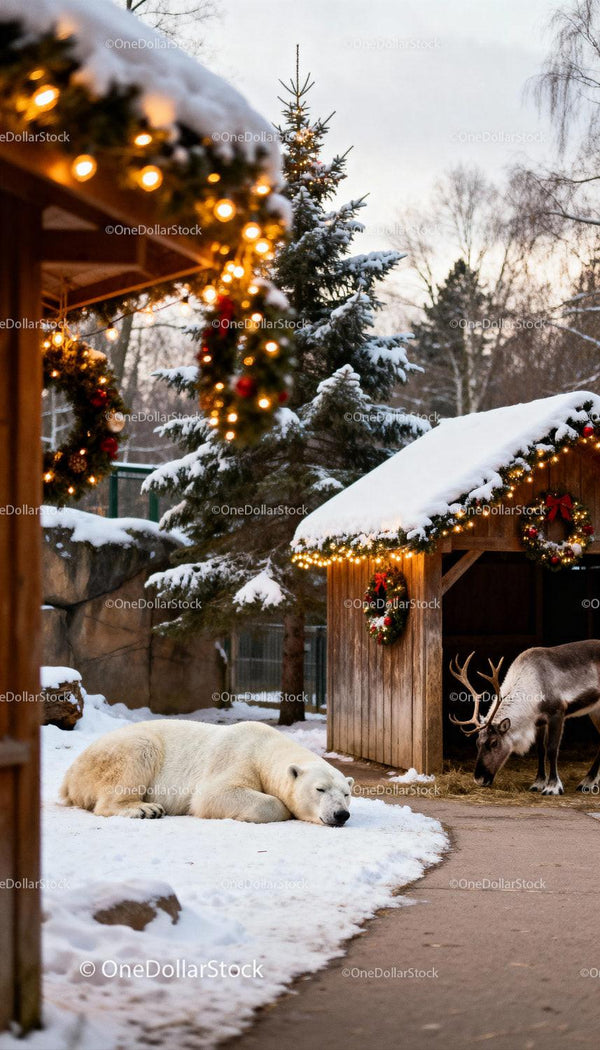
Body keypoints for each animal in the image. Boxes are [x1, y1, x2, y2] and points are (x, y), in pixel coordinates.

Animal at [60, 720, 354, 826]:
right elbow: (213, 795)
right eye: (320, 789)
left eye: (347, 794)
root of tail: (68, 776)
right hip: (120, 750)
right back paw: (145, 809)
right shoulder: (238, 757)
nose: (341, 814)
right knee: (138, 752)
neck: (264, 746)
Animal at [449, 639, 600, 795]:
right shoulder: (539, 721)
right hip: (595, 710)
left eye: (494, 742)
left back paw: (586, 782)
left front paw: (552, 787)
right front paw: (538, 783)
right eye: (477, 742)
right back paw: (590, 781)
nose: (479, 779)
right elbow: (540, 749)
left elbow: (552, 749)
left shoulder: (557, 713)